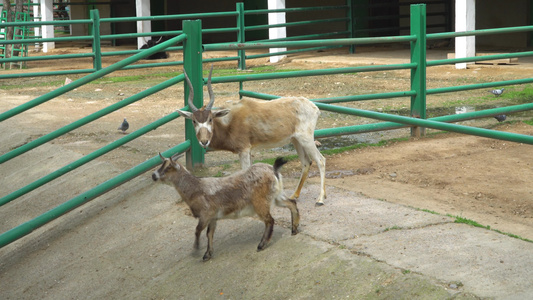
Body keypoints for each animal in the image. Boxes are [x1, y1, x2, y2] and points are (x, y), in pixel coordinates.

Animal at [151, 154, 300, 262]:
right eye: (161, 165)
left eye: (168, 167)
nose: (153, 175)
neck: (196, 189)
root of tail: (274, 169)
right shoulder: (213, 218)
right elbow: (209, 233)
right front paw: (207, 254)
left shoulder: (206, 214)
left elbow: (197, 230)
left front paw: (196, 249)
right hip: (277, 195)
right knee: (292, 203)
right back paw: (294, 229)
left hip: (260, 202)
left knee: (270, 220)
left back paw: (262, 244)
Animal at [177, 66, 326, 205]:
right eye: (194, 121)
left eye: (210, 119)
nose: (204, 141)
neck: (229, 119)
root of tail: (314, 107)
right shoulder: (248, 150)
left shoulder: (243, 150)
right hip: (296, 140)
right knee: (306, 162)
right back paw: (294, 195)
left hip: (306, 139)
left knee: (320, 160)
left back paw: (320, 199)